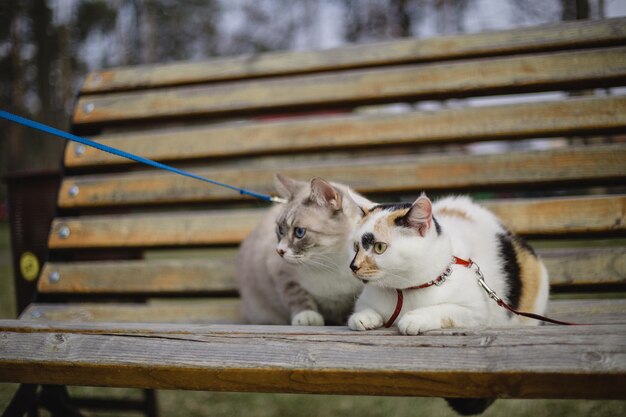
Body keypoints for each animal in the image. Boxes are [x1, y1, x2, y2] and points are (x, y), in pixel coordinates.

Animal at [236, 172, 368, 324]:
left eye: (299, 232)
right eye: (280, 230)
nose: (279, 251)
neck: (332, 261)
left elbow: (364, 299)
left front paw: (363, 317)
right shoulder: (283, 274)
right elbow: (298, 297)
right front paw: (307, 317)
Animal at [346, 194, 544, 334]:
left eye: (379, 247)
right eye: (355, 247)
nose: (353, 266)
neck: (405, 291)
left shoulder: (477, 311)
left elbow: (445, 309)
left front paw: (416, 318)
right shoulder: (364, 300)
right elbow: (361, 310)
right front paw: (364, 317)